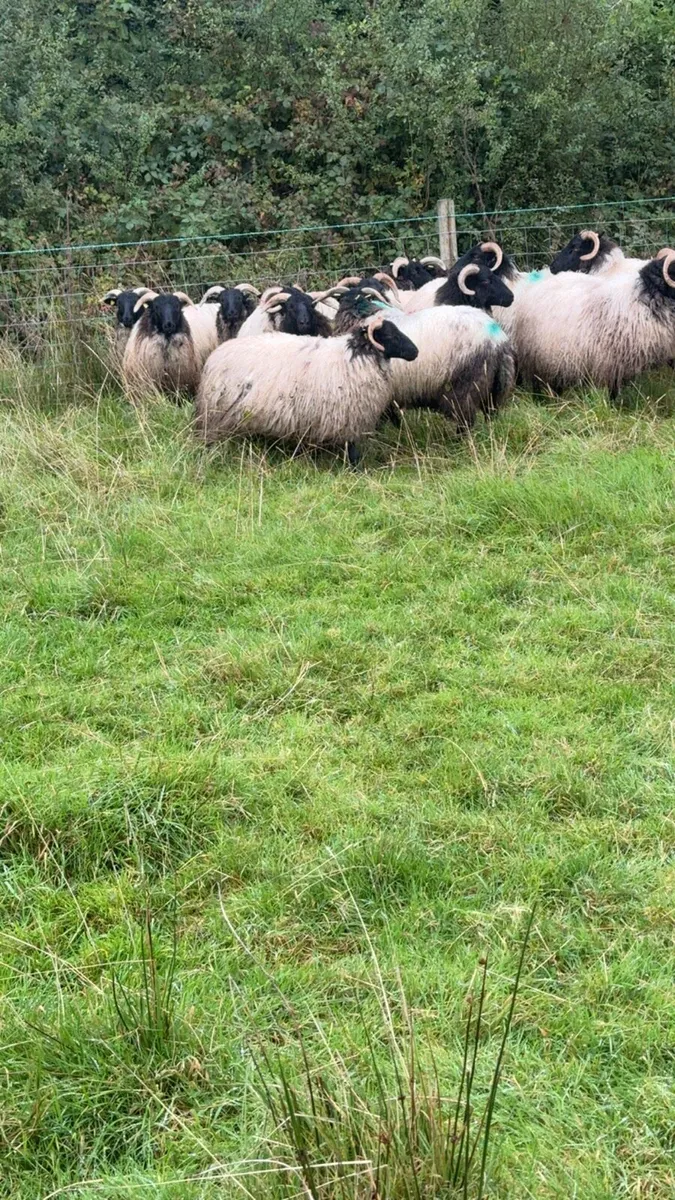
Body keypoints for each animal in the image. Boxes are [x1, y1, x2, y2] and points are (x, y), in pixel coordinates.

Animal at [195, 313, 419, 464]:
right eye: (390, 336)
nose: (415, 352)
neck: (356, 356)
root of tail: (214, 357)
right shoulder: (349, 417)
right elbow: (353, 449)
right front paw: (356, 469)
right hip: (217, 415)